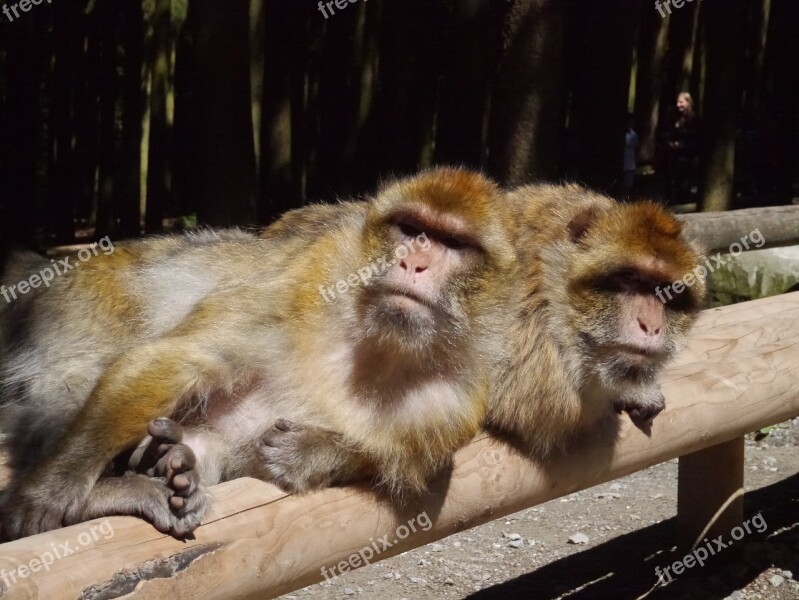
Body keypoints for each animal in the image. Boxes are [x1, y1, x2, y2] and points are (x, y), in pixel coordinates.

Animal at [0, 168, 520, 540]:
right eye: (411, 229)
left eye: (452, 243)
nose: (414, 262)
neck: (384, 344)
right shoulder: (308, 281)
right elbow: (182, 357)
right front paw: (53, 485)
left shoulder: (456, 403)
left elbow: (403, 465)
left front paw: (311, 453)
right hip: (73, 309)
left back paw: (168, 462)